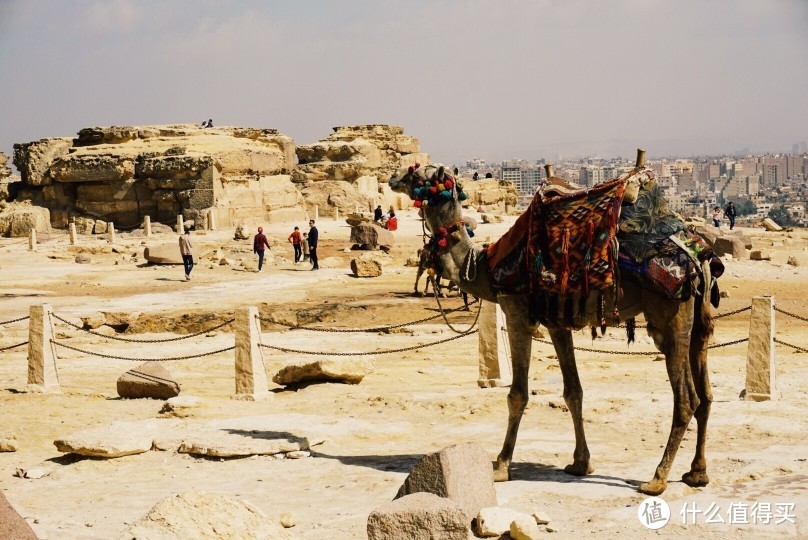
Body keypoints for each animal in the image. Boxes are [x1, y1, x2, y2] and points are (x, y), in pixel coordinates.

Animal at [392, 153, 712, 498]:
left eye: (416, 175)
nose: (393, 178)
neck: (487, 266)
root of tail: (699, 258)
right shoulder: (558, 324)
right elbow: (573, 392)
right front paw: (580, 463)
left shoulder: (516, 312)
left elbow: (517, 394)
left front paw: (501, 465)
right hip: (698, 322)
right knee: (705, 394)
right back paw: (697, 472)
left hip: (670, 314)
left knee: (687, 399)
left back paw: (657, 478)